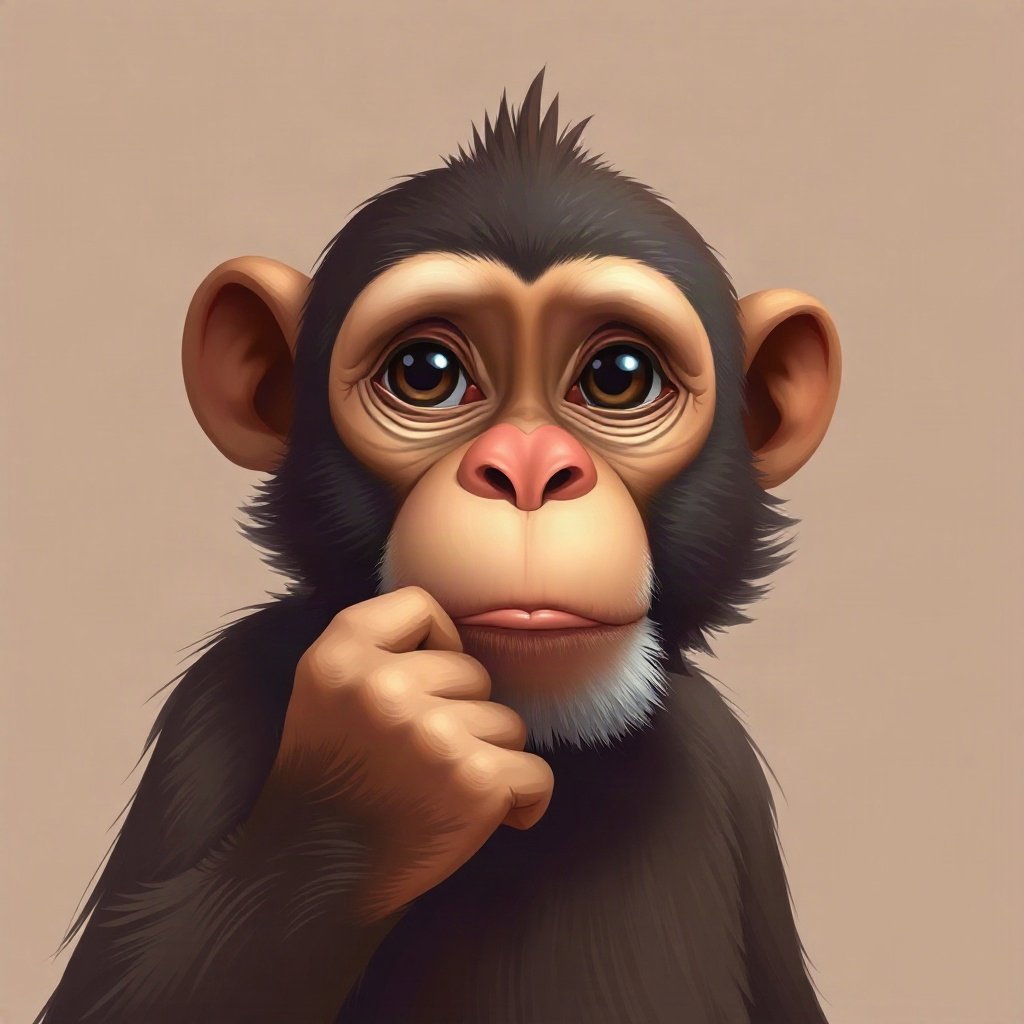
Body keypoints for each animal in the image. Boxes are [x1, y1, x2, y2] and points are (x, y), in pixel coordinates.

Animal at [36, 70, 841, 1024]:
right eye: (425, 373)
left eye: (619, 377)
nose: (527, 470)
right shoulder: (213, 704)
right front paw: (378, 769)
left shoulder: (727, 765)